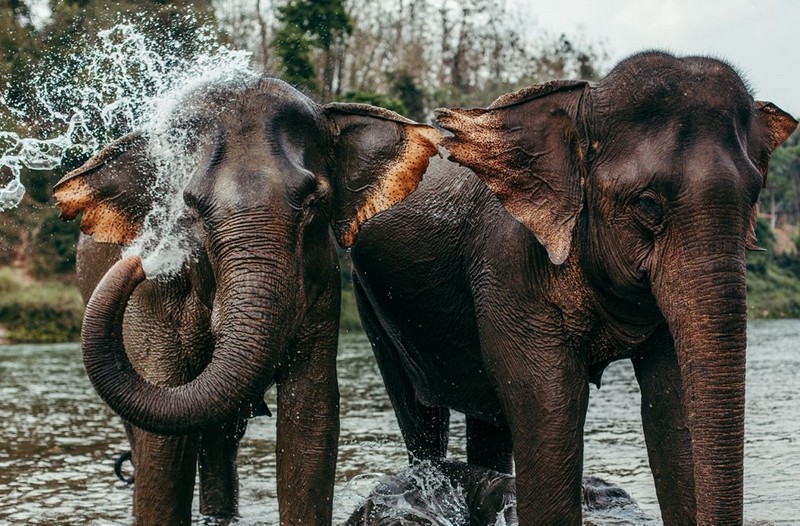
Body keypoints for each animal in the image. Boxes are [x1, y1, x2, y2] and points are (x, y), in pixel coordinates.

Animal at [53, 75, 440, 526]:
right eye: (190, 209)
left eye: (314, 203)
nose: (138, 262)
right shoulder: (152, 301)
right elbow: (163, 445)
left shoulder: (322, 284)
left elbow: (311, 419)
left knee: (221, 436)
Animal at [352, 50, 800, 526]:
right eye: (647, 204)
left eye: (754, 198)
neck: (584, 103)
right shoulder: (509, 265)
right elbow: (550, 406)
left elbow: (672, 405)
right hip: (370, 304)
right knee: (421, 414)